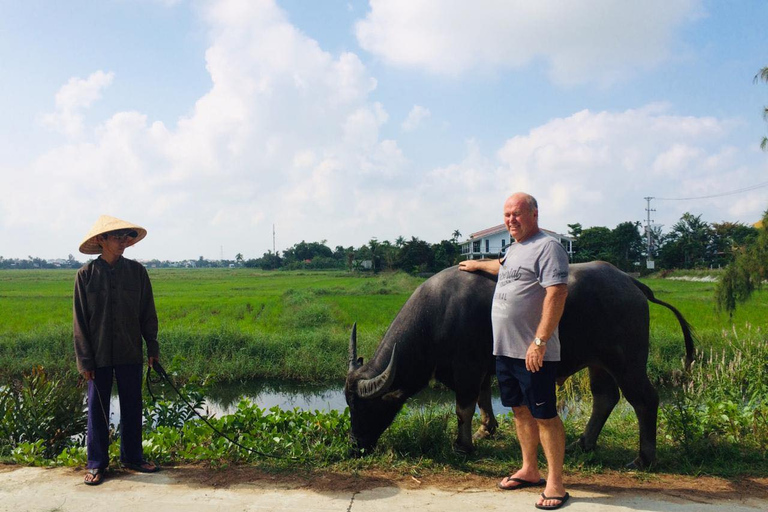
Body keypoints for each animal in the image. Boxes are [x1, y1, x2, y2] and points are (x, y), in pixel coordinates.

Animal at [344, 260, 692, 468]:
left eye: (365, 407)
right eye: (349, 405)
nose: (356, 446)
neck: (439, 315)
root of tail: (631, 283)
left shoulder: (467, 368)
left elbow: (463, 408)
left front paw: (463, 446)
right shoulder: (482, 368)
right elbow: (483, 399)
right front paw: (486, 430)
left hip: (627, 361)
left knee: (644, 400)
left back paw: (644, 459)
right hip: (599, 362)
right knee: (605, 398)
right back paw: (583, 443)